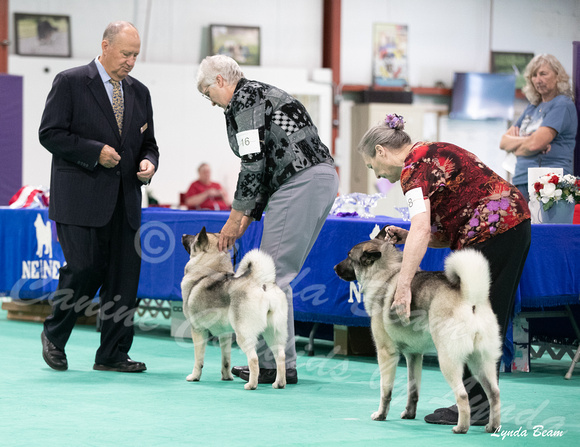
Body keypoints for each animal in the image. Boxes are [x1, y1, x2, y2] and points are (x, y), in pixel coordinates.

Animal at [181, 229, 288, 390]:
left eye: (194, 238)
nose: (183, 235)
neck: (209, 269)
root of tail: (260, 282)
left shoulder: (198, 330)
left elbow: (198, 359)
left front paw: (194, 377)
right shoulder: (225, 334)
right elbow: (226, 360)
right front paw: (227, 377)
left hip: (244, 334)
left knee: (254, 359)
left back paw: (251, 384)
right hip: (274, 333)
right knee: (280, 356)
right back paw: (279, 383)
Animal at [334, 228, 500, 434]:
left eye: (349, 257)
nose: (335, 268)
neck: (385, 273)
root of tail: (471, 298)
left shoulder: (386, 353)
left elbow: (385, 391)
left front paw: (381, 415)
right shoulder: (413, 355)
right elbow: (413, 390)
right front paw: (409, 413)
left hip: (448, 360)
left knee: (462, 395)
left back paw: (461, 427)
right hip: (481, 362)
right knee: (494, 393)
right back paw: (492, 426)